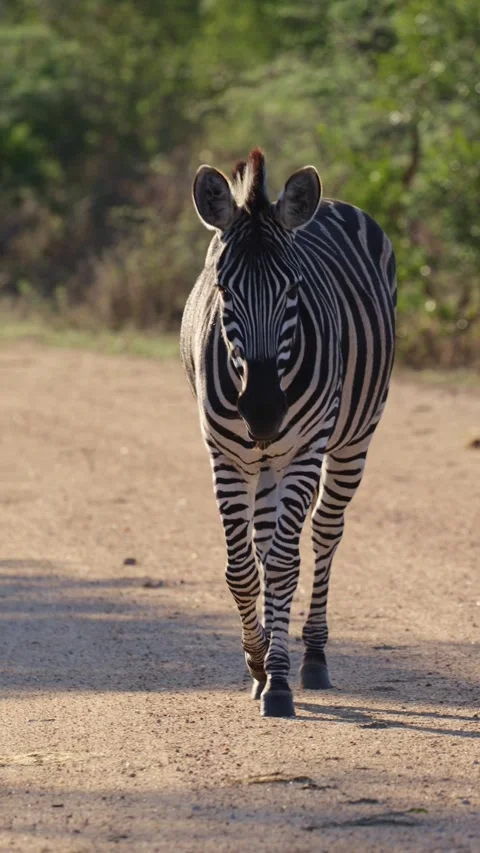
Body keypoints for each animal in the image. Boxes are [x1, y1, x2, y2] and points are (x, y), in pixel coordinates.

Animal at [181, 147, 396, 717]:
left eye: (294, 289)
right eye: (224, 289)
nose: (262, 413)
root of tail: (330, 202)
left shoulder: (304, 451)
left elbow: (282, 563)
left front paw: (277, 680)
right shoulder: (225, 454)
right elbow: (242, 567)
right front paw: (257, 663)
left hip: (351, 439)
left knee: (323, 532)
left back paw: (313, 657)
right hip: (264, 460)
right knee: (263, 539)